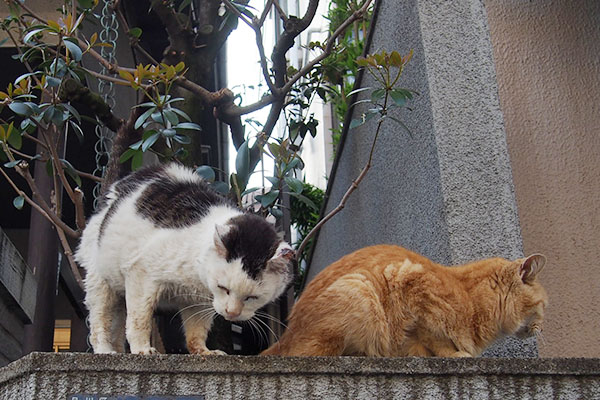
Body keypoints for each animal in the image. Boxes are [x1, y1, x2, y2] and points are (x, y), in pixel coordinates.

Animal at [76, 164, 294, 354]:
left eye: (252, 298)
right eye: (223, 288)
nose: (231, 313)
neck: (196, 275)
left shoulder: (198, 301)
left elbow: (196, 332)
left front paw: (204, 352)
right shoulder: (141, 275)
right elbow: (139, 320)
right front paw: (142, 350)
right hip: (101, 282)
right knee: (99, 323)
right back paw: (105, 351)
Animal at [260, 245, 548, 358]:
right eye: (544, 306)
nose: (542, 327)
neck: (472, 300)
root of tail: (286, 334)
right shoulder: (407, 278)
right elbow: (433, 335)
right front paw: (454, 353)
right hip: (360, 291)